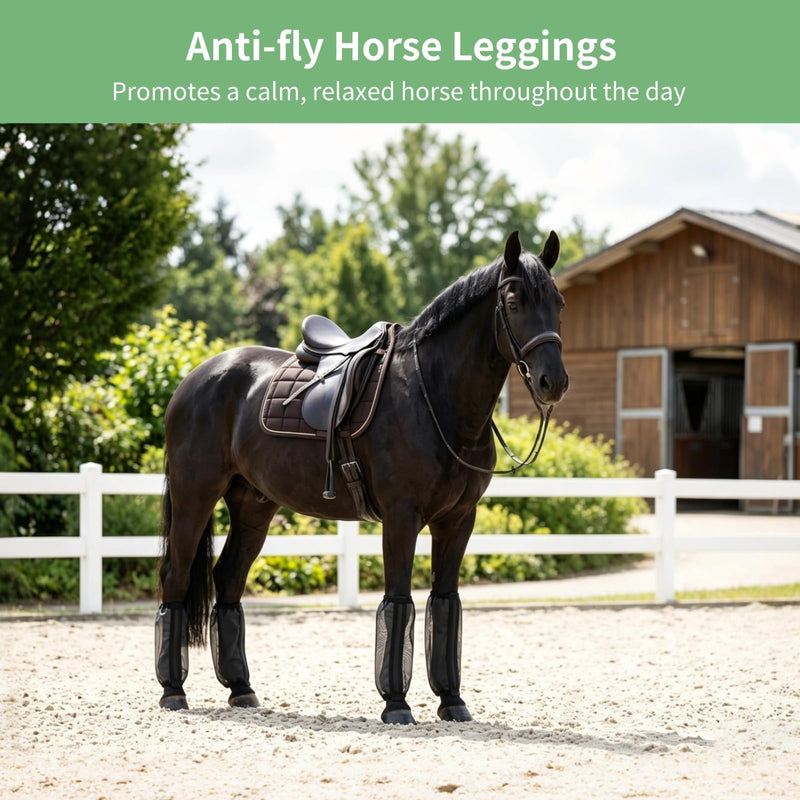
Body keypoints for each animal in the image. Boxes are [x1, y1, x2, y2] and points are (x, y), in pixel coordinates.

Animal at [155, 229, 569, 724]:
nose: (553, 382)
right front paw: (396, 704)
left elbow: (445, 601)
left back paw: (241, 689)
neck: (436, 397)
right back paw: (173, 691)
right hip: (194, 496)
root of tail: (195, 378)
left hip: (253, 504)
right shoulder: (402, 517)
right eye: (513, 299)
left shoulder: (458, 519)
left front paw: (452, 701)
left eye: (559, 302)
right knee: (176, 576)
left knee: (229, 579)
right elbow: (398, 600)